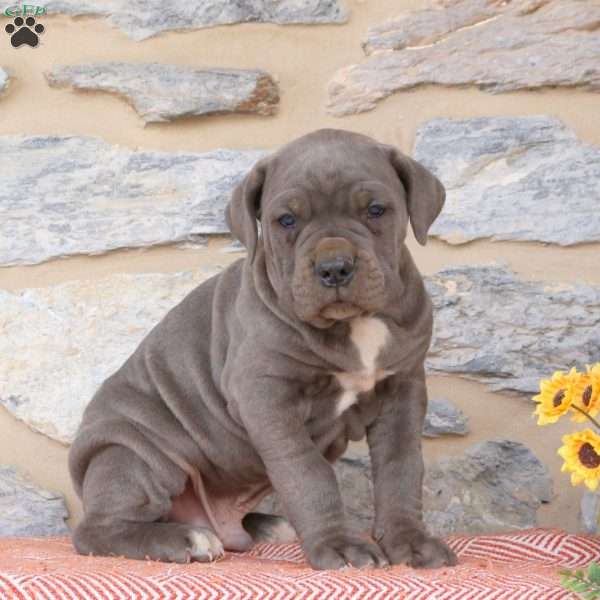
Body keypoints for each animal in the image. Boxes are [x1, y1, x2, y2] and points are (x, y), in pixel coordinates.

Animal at [68, 129, 458, 568]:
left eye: (376, 210)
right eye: (286, 220)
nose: (334, 268)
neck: (352, 325)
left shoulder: (402, 390)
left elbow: (401, 468)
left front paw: (410, 541)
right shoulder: (265, 394)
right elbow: (307, 472)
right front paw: (340, 545)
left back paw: (270, 526)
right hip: (135, 453)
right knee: (98, 529)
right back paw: (185, 539)